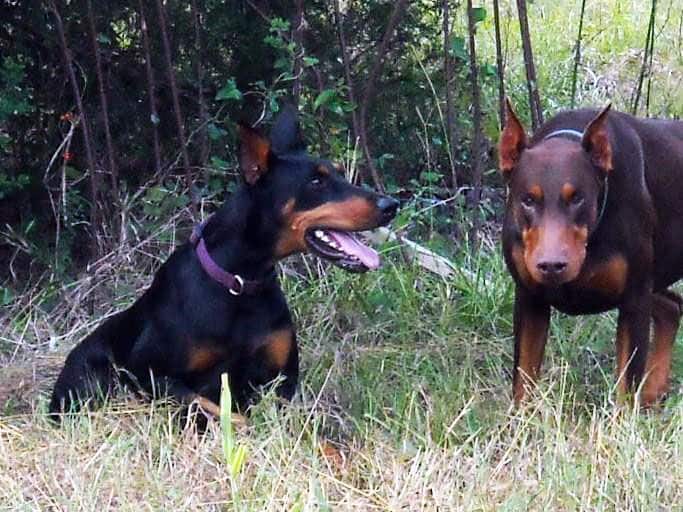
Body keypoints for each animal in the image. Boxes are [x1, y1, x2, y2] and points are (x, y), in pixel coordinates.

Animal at [48, 107, 398, 416]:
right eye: (316, 182)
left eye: (339, 172)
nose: (391, 204)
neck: (241, 280)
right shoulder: (149, 376)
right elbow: (220, 413)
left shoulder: (282, 381)